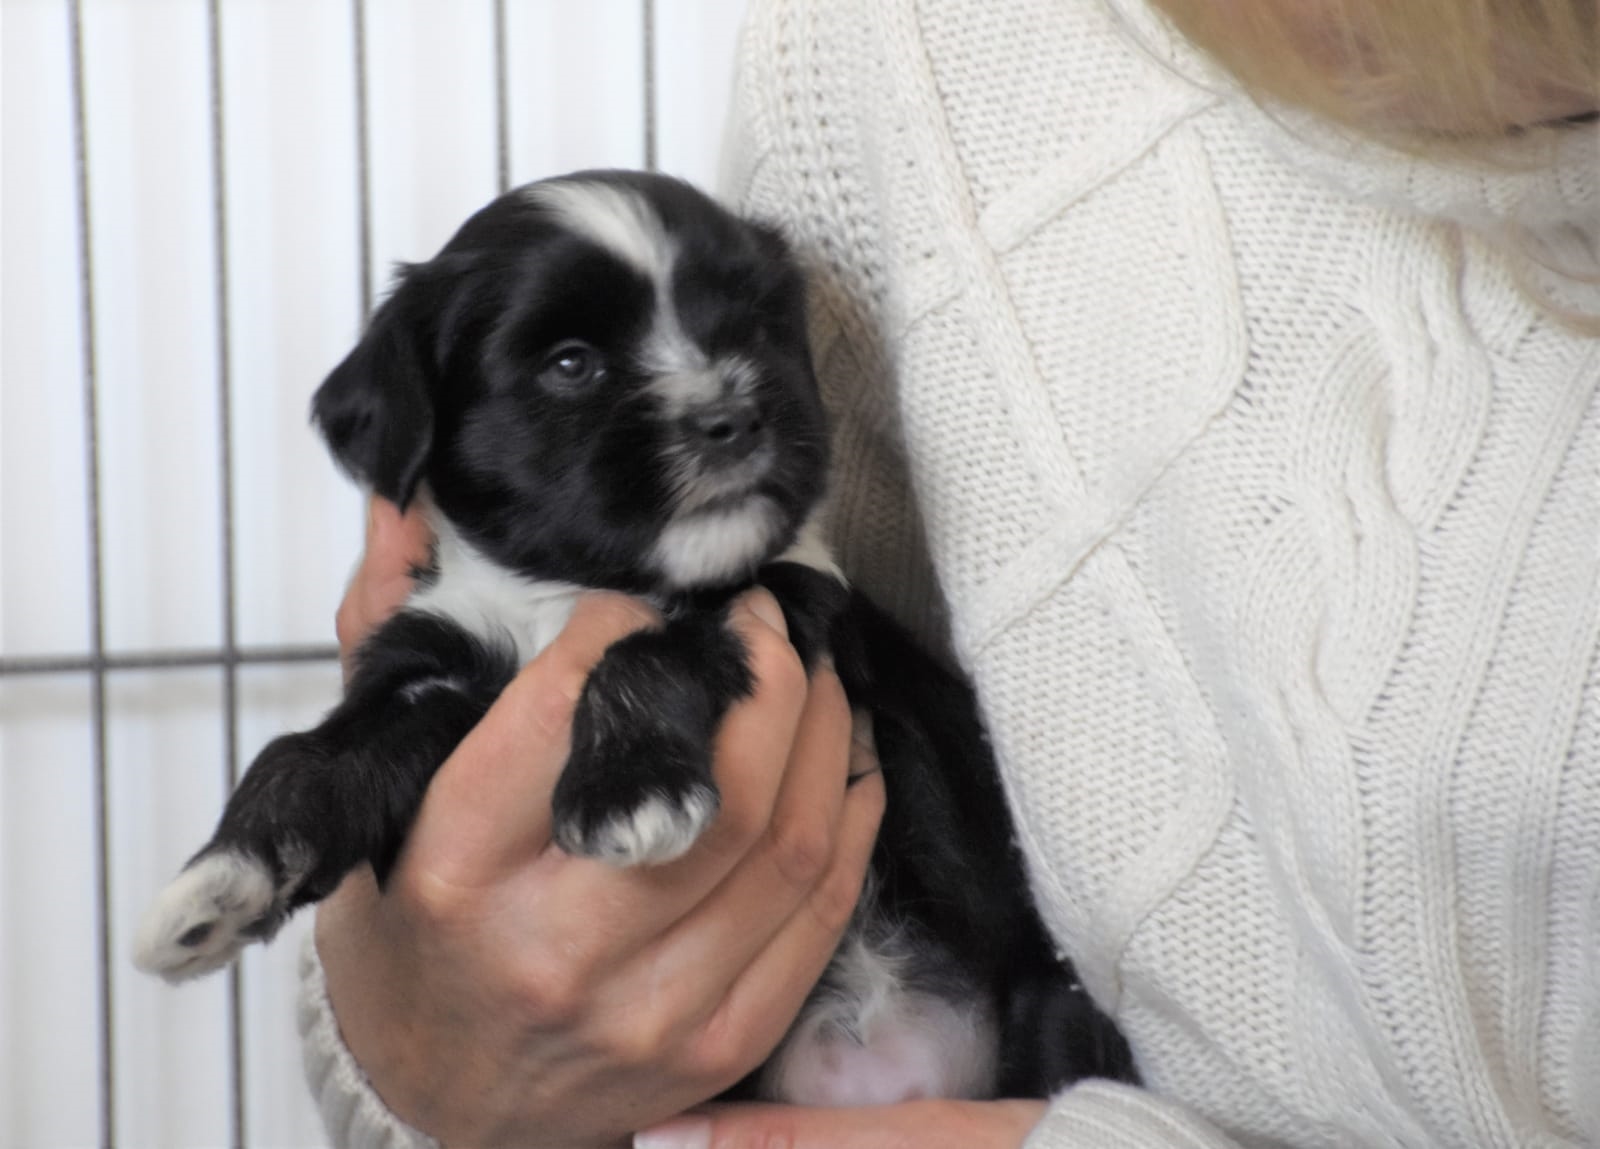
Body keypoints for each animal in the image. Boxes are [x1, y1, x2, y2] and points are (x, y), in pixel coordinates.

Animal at [134, 170, 1134, 1103]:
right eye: (572, 363)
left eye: (755, 331)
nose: (732, 414)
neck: (571, 589)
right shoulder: (432, 666)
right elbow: (308, 756)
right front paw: (214, 887)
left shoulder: (781, 603)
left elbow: (645, 652)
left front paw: (629, 789)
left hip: (1050, 1015)